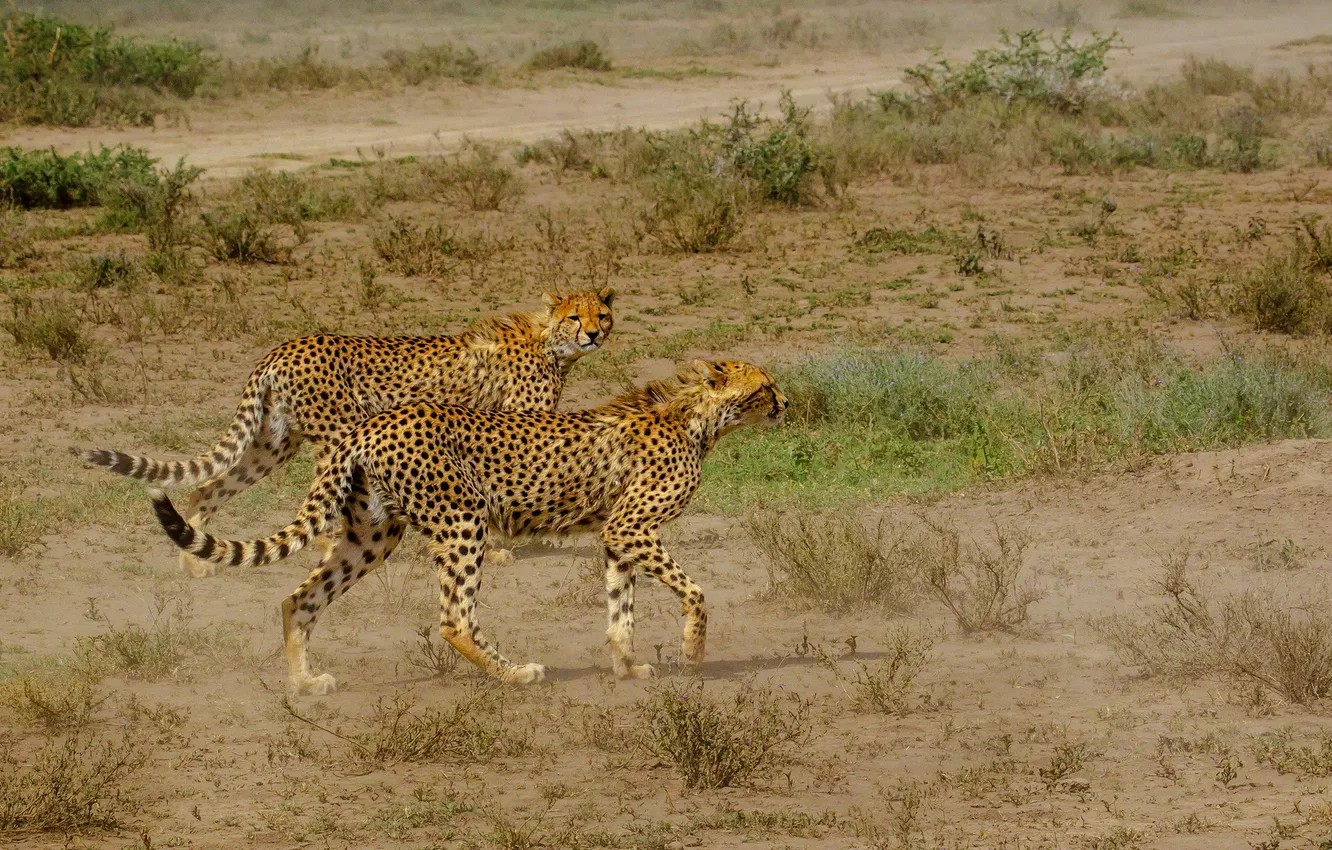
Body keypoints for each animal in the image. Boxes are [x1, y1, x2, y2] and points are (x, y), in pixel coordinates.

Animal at [81, 288, 615, 579]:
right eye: (575, 315)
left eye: (601, 314)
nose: (593, 333)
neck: (550, 342)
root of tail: (285, 345)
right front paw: (503, 549)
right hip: (340, 430)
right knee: (315, 504)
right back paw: (325, 547)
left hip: (272, 443)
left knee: (208, 487)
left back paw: (194, 562)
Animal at [147, 359, 787, 694]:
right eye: (764, 386)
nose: (785, 404)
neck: (697, 418)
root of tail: (373, 423)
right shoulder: (632, 528)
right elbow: (695, 593)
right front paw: (693, 653)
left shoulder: (616, 536)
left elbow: (619, 611)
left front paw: (628, 666)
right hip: (463, 520)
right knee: (454, 619)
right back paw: (515, 673)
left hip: (372, 535)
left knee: (298, 599)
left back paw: (304, 684)